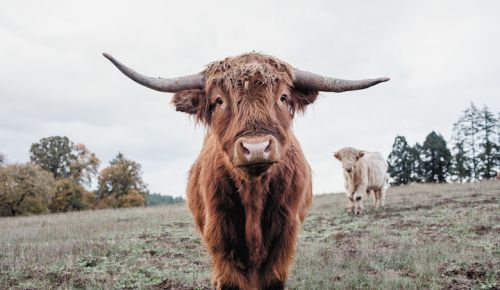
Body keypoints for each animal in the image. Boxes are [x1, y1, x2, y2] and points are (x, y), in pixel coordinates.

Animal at [103, 52, 388, 290]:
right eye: (218, 100)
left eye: (283, 97)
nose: (257, 148)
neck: (254, 193)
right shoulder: (220, 233)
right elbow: (230, 281)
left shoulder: (284, 233)